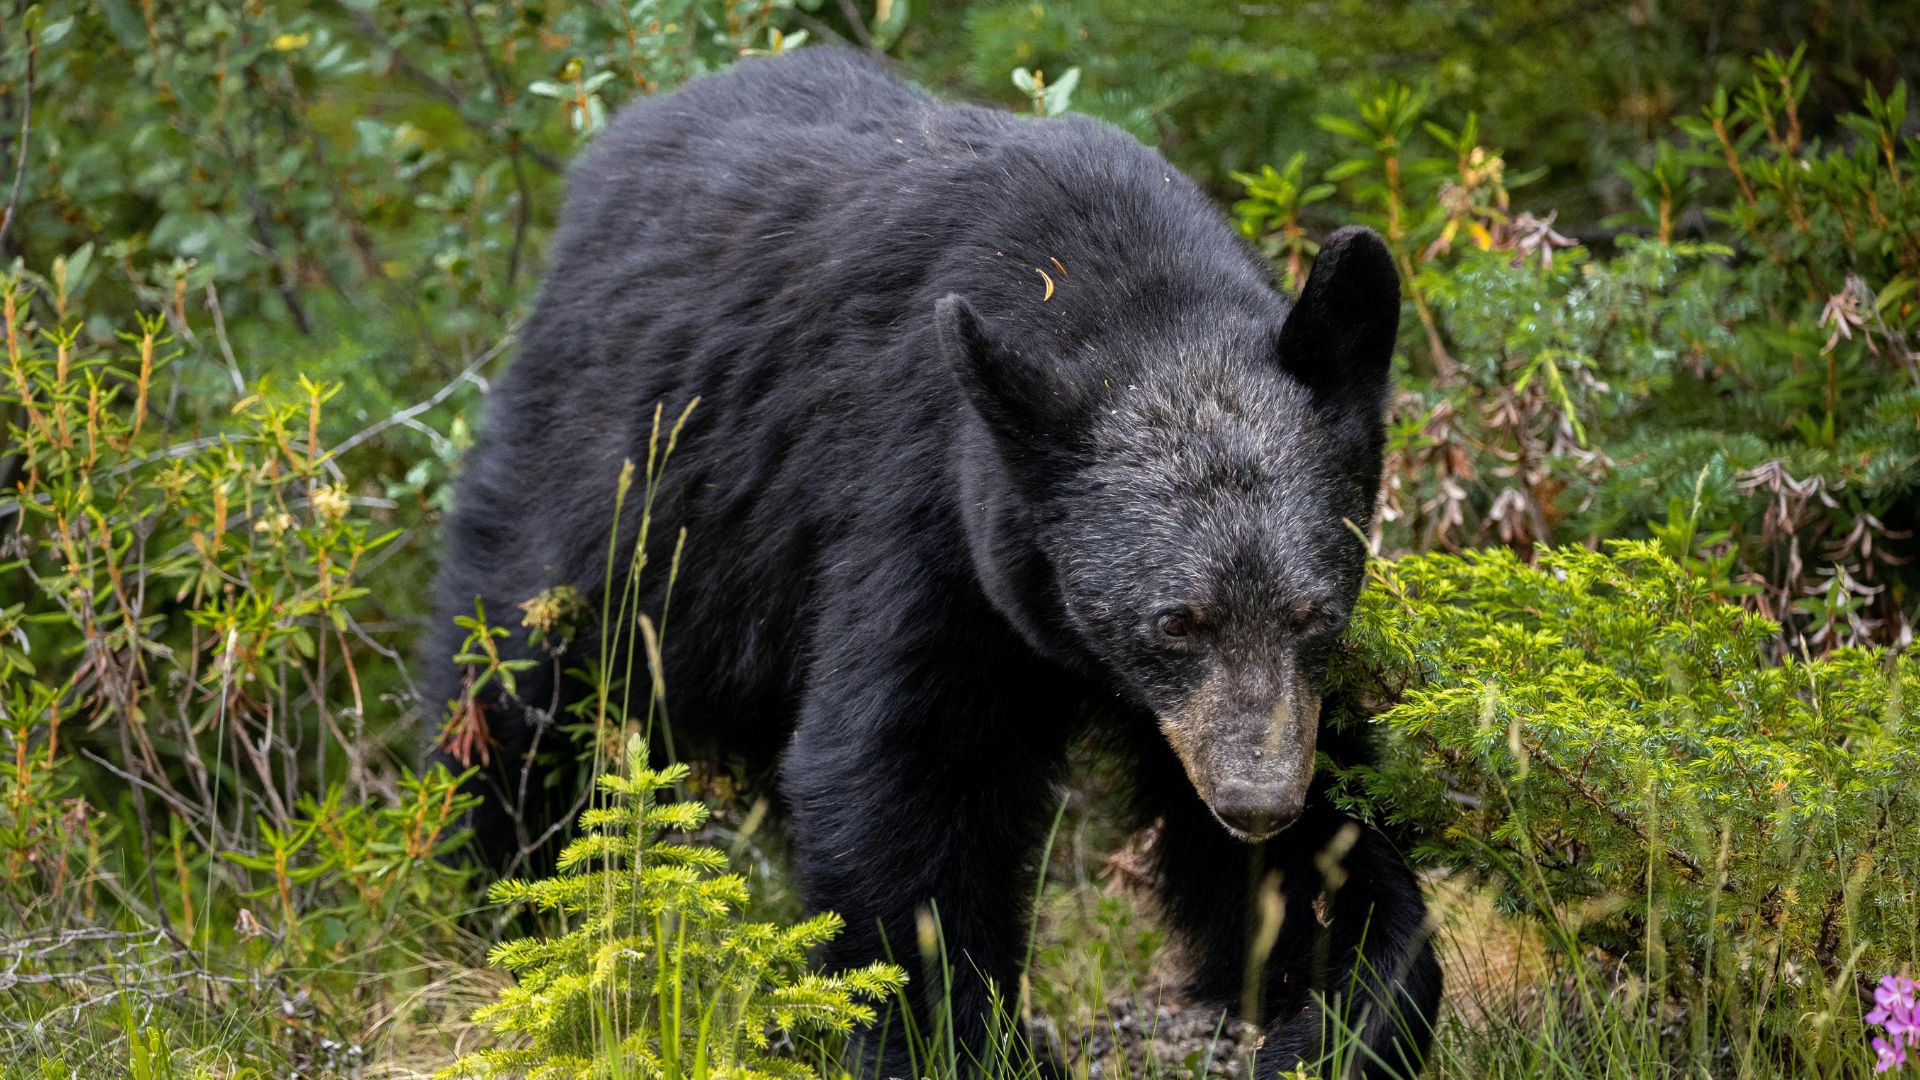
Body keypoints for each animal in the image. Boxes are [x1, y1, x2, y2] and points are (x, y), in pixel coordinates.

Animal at [424, 46, 1443, 1076]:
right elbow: (902, 772)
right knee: (515, 688)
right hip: (616, 494)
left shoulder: (1241, 701)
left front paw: (1338, 1010)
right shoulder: (926, 510)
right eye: (1175, 621)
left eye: (1316, 612)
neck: (1120, 291)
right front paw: (953, 1035)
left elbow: (1309, 848)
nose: (1259, 800)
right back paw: (505, 902)